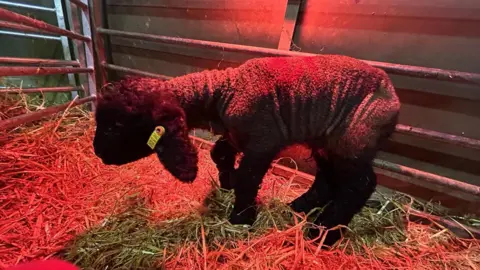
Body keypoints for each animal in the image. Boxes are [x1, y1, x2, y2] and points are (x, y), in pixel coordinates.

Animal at [92, 54, 400, 247]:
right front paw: (226, 180)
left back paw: (323, 232)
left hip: (354, 139)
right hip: (327, 140)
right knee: (328, 178)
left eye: (116, 125)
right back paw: (302, 206)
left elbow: (248, 179)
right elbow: (219, 153)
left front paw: (241, 217)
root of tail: (392, 95)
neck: (221, 92)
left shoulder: (263, 141)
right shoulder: (237, 136)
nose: (97, 152)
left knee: (360, 184)